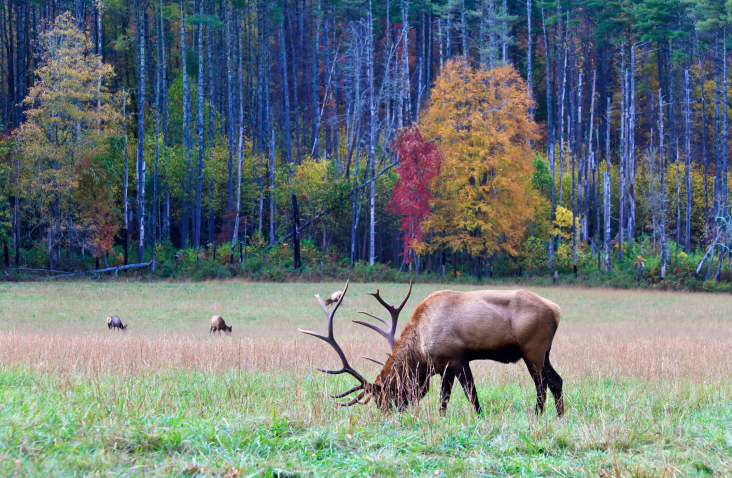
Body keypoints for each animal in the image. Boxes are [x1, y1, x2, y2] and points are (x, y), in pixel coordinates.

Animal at [300, 282, 564, 416]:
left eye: (385, 395)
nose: (386, 414)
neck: (421, 352)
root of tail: (556, 310)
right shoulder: (444, 366)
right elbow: (443, 399)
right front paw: (441, 417)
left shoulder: (458, 358)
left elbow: (471, 395)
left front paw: (480, 417)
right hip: (545, 352)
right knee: (556, 380)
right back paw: (560, 415)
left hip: (532, 349)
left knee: (541, 384)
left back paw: (537, 415)